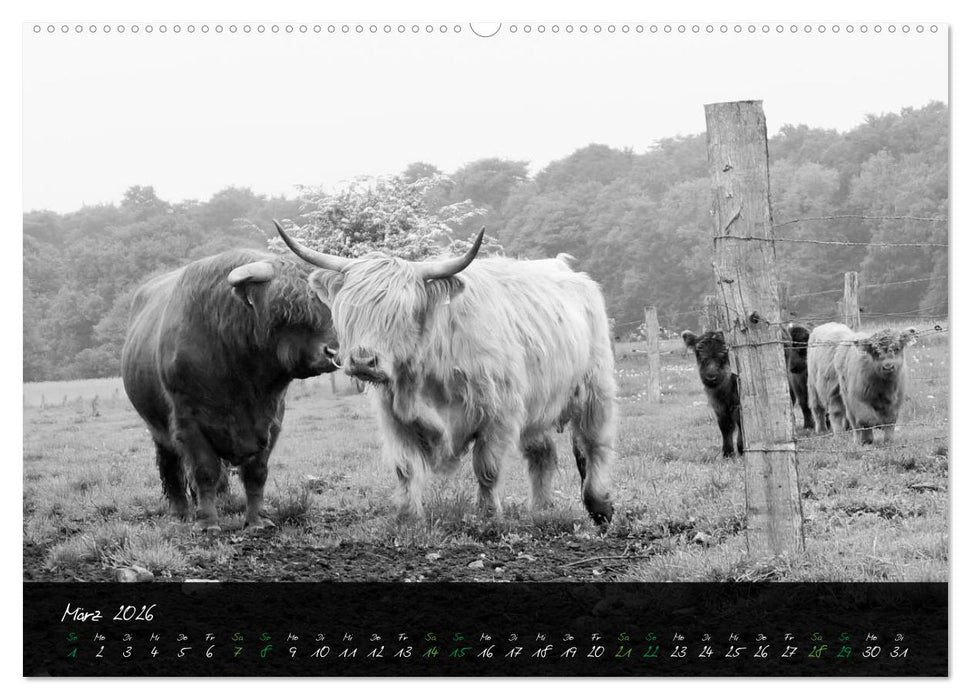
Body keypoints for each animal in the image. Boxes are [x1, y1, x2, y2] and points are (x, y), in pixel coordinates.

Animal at [121, 250, 339, 533]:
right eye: (285, 310)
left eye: (326, 306)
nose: (332, 352)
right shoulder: (188, 421)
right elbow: (204, 471)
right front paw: (207, 523)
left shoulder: (271, 420)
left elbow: (256, 472)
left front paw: (256, 520)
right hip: (156, 427)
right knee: (172, 467)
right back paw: (182, 511)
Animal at [275, 221, 617, 525]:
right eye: (349, 310)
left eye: (401, 312)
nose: (362, 361)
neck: (427, 374)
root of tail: (565, 268)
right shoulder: (395, 417)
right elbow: (406, 469)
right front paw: (408, 517)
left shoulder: (499, 413)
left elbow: (487, 468)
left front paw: (489, 517)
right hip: (539, 402)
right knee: (542, 453)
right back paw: (542, 508)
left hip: (595, 387)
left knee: (595, 443)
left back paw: (599, 506)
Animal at [681, 330, 743, 458]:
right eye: (698, 352)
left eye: (724, 352)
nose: (711, 377)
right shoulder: (719, 408)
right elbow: (725, 426)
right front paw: (727, 453)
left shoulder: (739, 404)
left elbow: (741, 423)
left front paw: (742, 449)